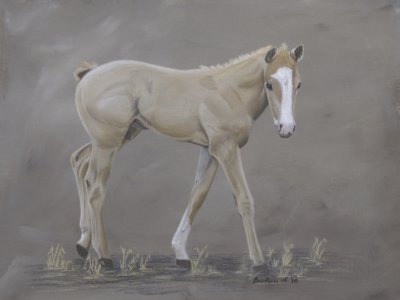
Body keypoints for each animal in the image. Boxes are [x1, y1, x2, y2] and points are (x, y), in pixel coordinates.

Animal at [71, 42, 304, 270]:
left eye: (298, 84)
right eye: (269, 84)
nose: (287, 128)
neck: (230, 93)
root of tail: (89, 74)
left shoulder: (209, 151)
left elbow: (197, 196)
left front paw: (180, 253)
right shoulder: (225, 149)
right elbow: (244, 200)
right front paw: (259, 262)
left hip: (121, 136)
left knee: (79, 162)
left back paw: (83, 243)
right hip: (108, 142)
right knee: (96, 189)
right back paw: (104, 256)